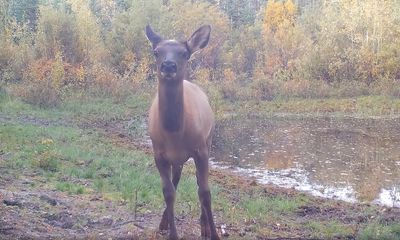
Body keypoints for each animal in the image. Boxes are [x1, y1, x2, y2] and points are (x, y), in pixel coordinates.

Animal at [145, 24, 219, 240]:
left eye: (185, 54)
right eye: (156, 52)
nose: (168, 66)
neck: (174, 133)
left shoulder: (201, 150)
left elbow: (205, 192)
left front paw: (214, 234)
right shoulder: (158, 153)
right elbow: (168, 192)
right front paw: (172, 233)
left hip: (209, 140)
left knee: (199, 184)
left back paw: (204, 227)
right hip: (176, 158)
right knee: (176, 181)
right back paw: (163, 223)